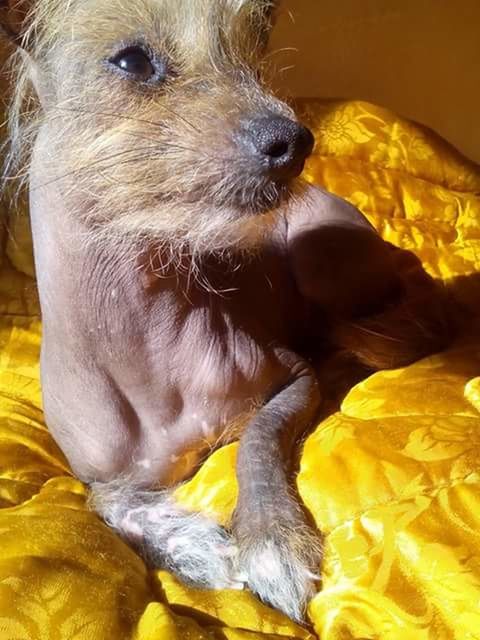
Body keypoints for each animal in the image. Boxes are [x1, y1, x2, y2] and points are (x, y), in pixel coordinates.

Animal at [0, 0, 450, 624]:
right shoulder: (94, 477)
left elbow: (257, 443)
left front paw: (271, 539)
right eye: (132, 60)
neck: (148, 351)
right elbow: (108, 506)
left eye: (254, 51)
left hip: (320, 256)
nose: (295, 141)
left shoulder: (294, 380)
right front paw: (191, 544)